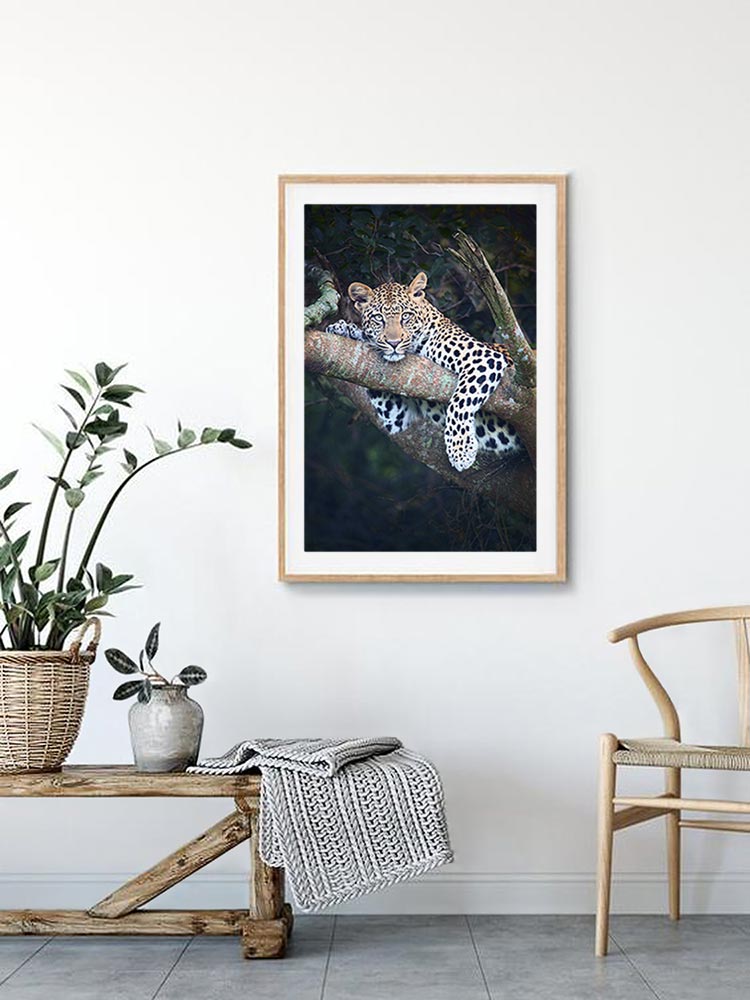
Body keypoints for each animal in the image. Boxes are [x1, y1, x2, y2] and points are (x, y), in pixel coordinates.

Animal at [325, 271, 521, 471]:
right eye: (378, 318)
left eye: (406, 316)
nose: (394, 343)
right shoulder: (397, 415)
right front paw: (345, 329)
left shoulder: (484, 358)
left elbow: (460, 401)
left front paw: (460, 449)